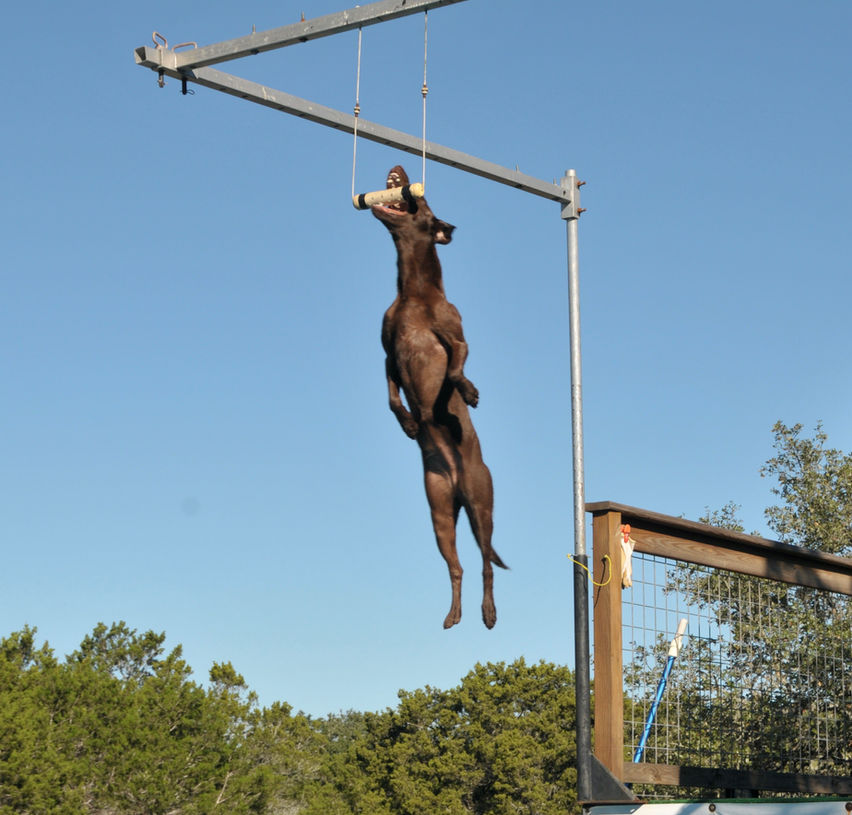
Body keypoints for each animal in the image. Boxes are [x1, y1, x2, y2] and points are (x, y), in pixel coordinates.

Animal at [372, 166, 507, 629]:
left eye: (426, 203)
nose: (398, 170)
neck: (413, 291)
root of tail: (457, 484)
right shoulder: (388, 353)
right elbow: (391, 397)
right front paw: (411, 422)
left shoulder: (457, 338)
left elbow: (453, 369)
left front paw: (466, 392)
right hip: (439, 513)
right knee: (457, 567)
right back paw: (454, 613)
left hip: (482, 505)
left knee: (485, 564)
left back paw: (488, 612)